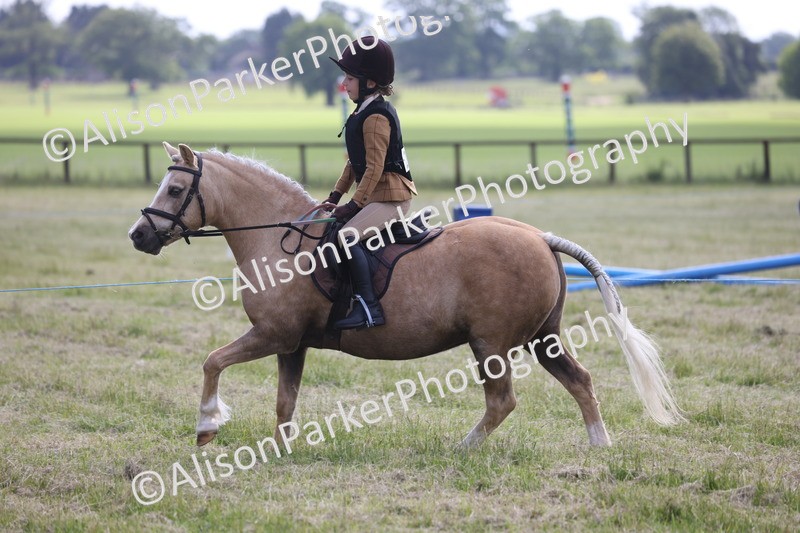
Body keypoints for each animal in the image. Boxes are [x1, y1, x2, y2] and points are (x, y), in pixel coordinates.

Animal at [128, 142, 683, 449]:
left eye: (174, 191)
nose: (139, 236)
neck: (278, 239)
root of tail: (541, 238)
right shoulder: (292, 344)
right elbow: (285, 402)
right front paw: (280, 451)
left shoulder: (272, 334)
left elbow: (212, 362)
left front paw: (206, 427)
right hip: (541, 338)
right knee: (580, 381)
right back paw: (599, 448)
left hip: (491, 344)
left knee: (502, 401)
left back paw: (462, 449)